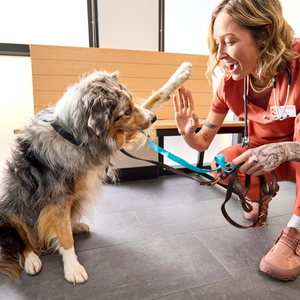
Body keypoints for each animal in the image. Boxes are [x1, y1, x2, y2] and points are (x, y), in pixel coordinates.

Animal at [0, 61, 192, 284]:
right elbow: (65, 237)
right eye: (126, 111)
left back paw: (75, 226)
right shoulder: (58, 198)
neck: (75, 137)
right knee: (19, 242)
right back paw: (31, 259)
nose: (153, 118)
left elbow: (154, 98)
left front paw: (180, 74)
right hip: (10, 212)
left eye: (132, 103)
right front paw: (73, 268)